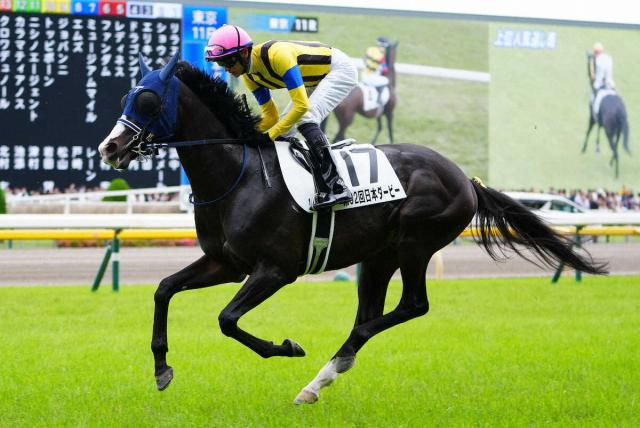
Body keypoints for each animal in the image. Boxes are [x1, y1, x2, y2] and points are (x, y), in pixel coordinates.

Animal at [98, 52, 607, 405]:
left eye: (147, 99)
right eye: (123, 96)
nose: (109, 148)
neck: (237, 176)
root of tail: (465, 178)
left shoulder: (275, 269)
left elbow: (226, 319)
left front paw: (287, 347)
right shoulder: (225, 262)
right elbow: (164, 289)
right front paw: (161, 368)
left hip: (415, 242)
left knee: (411, 307)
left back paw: (323, 370)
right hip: (377, 256)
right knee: (369, 316)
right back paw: (320, 380)